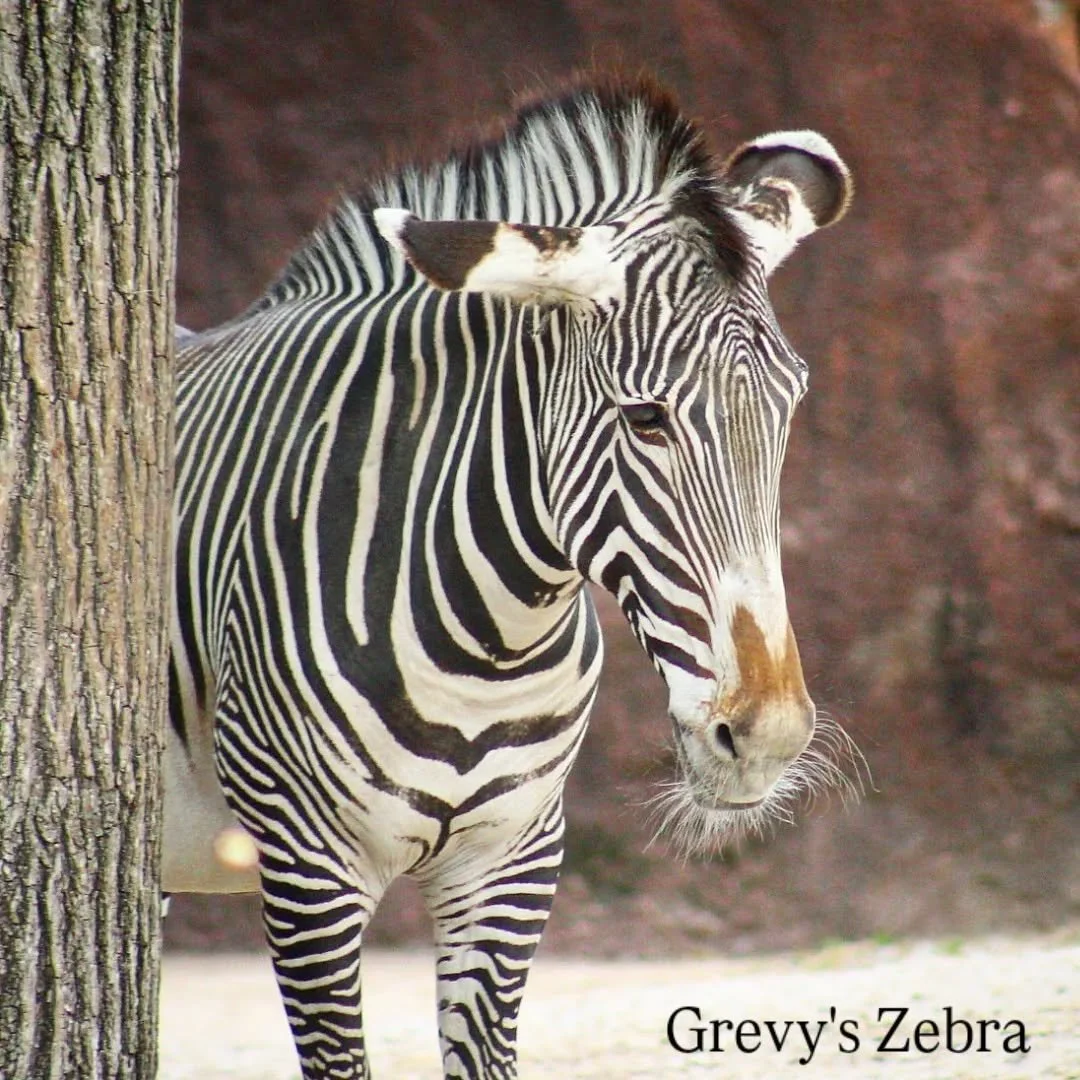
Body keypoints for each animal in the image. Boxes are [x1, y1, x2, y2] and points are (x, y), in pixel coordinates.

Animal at [163, 76, 853, 1079]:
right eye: (645, 419)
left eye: (790, 403)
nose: (767, 737)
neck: (487, 641)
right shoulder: (306, 871)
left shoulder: (513, 865)